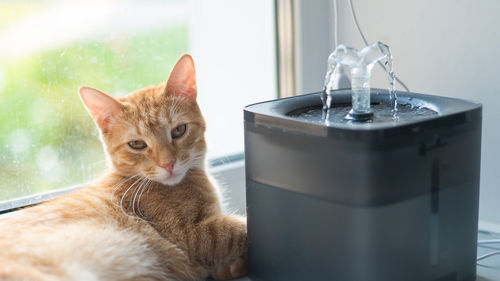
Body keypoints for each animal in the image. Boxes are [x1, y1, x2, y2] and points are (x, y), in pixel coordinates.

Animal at [0, 53, 248, 278]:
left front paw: (234, 267)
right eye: (137, 144)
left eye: (179, 130)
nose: (168, 164)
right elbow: (240, 230)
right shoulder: (191, 235)